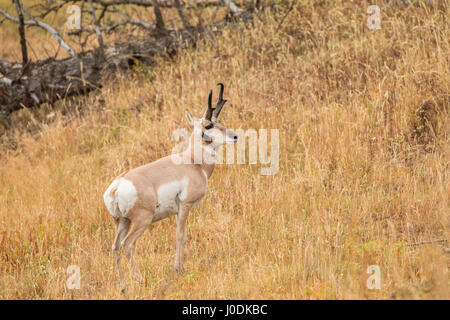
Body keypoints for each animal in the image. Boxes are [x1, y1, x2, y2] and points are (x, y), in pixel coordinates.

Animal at [103, 84, 239, 292]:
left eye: (219, 121)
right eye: (208, 125)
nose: (235, 136)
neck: (193, 162)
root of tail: (116, 187)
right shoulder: (185, 206)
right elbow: (180, 236)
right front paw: (179, 269)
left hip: (122, 222)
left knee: (116, 247)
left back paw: (124, 287)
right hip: (142, 220)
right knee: (127, 245)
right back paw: (140, 280)